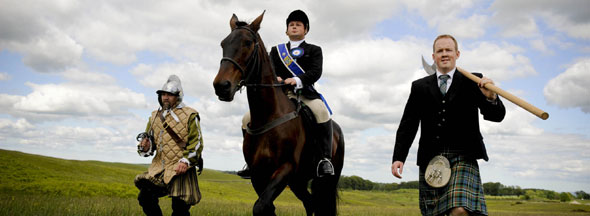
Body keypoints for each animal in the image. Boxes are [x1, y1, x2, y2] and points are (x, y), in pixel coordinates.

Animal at [214, 12, 344, 216]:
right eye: (223, 43)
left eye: (248, 43)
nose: (221, 86)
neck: (269, 115)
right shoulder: (258, 174)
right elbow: (266, 206)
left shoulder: (285, 169)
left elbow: (261, 206)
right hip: (298, 181)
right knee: (310, 203)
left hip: (326, 179)